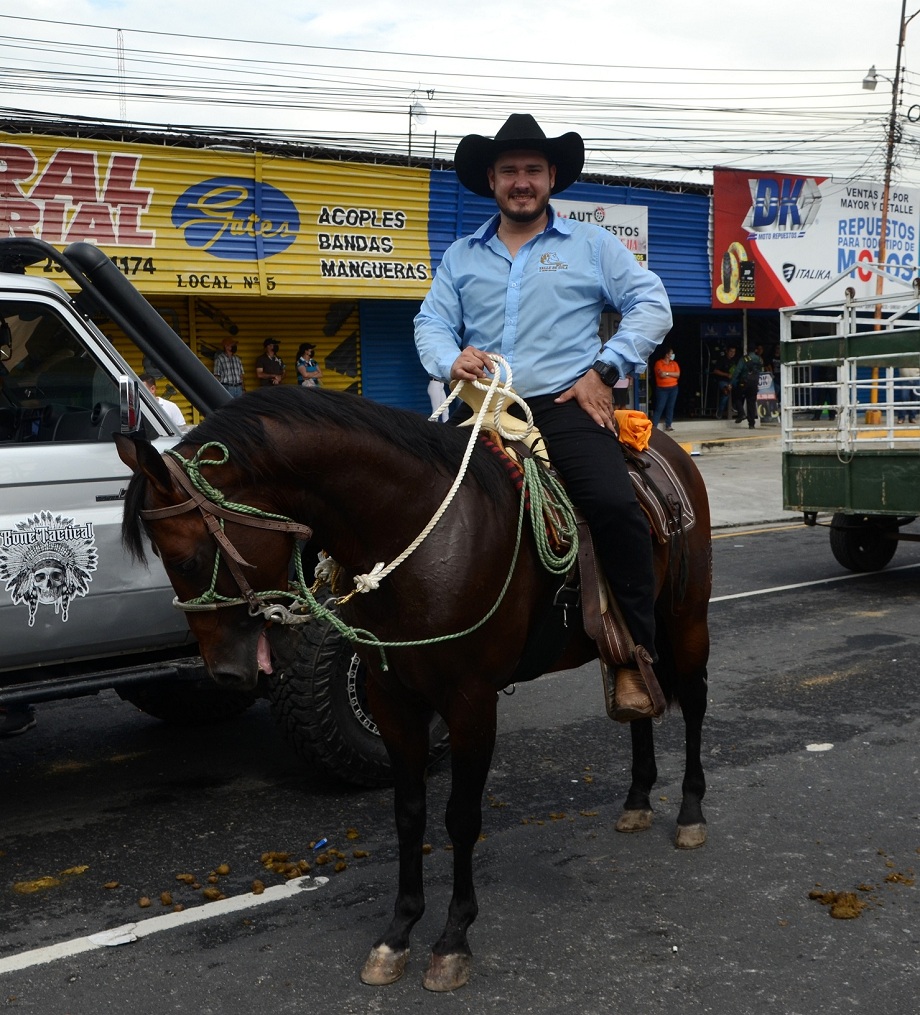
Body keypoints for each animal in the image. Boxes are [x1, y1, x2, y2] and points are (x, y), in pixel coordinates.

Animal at [116, 385, 710, 990]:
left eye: (189, 558)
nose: (226, 673)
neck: (418, 536)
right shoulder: (392, 699)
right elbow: (408, 813)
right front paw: (398, 932)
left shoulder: (471, 703)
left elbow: (461, 817)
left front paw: (452, 939)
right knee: (639, 698)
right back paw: (637, 799)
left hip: (687, 621)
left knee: (694, 705)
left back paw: (689, 814)